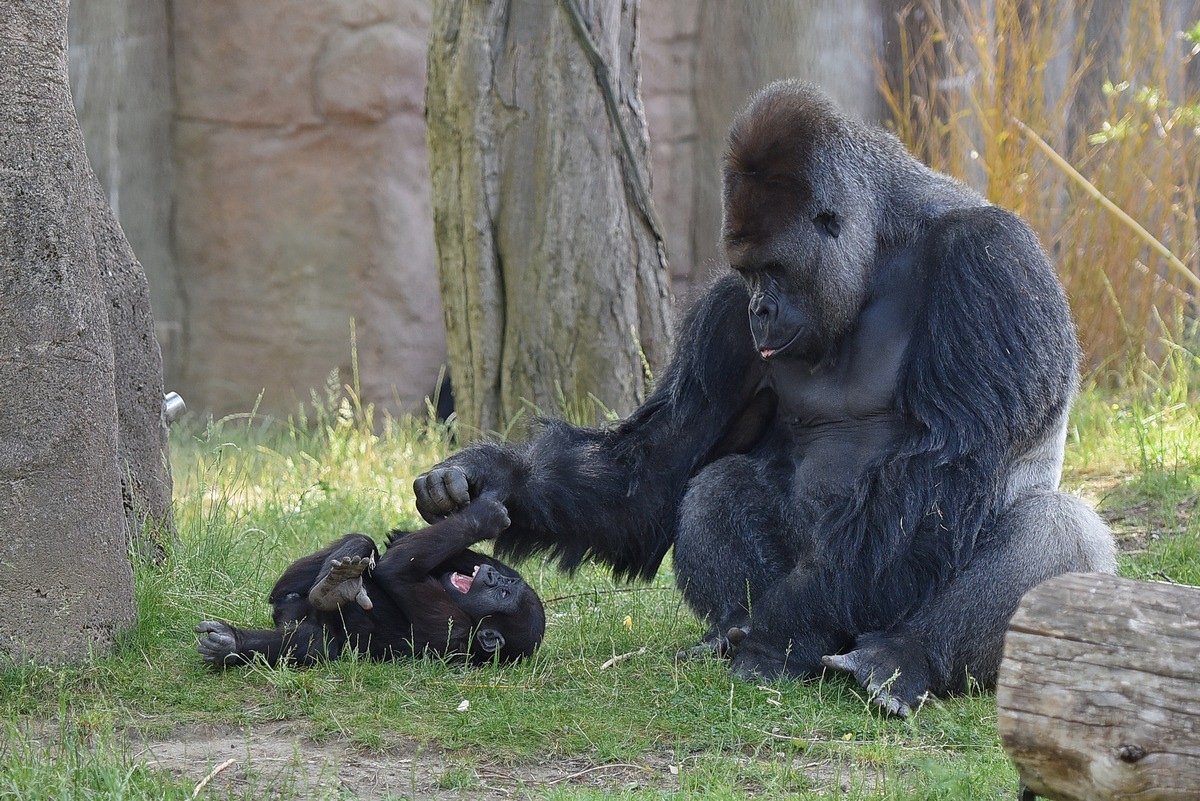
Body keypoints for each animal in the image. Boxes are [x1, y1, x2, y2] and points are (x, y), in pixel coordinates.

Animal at [195, 501, 544, 661]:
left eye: (502, 595)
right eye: (504, 584)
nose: (492, 576)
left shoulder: (454, 624)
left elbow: (397, 570)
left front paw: (483, 515)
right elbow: (399, 541)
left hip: (307, 629)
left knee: (311, 641)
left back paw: (234, 643)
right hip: (288, 600)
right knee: (360, 545)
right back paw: (336, 581)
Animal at [417, 84, 1118, 714]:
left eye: (775, 271)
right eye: (749, 274)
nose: (761, 310)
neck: (882, 248)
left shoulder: (990, 263)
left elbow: (948, 461)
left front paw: (780, 632)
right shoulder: (724, 315)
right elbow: (656, 462)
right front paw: (491, 476)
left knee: (1059, 531)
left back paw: (895, 656)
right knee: (715, 485)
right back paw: (737, 633)